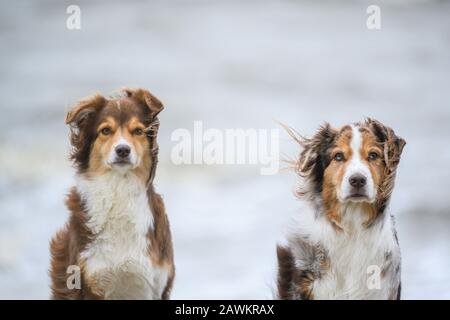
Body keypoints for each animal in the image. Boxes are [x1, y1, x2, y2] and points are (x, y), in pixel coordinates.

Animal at [49, 88, 174, 300]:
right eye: (106, 131)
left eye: (138, 131)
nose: (123, 149)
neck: (119, 188)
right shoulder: (89, 282)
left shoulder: (156, 282)